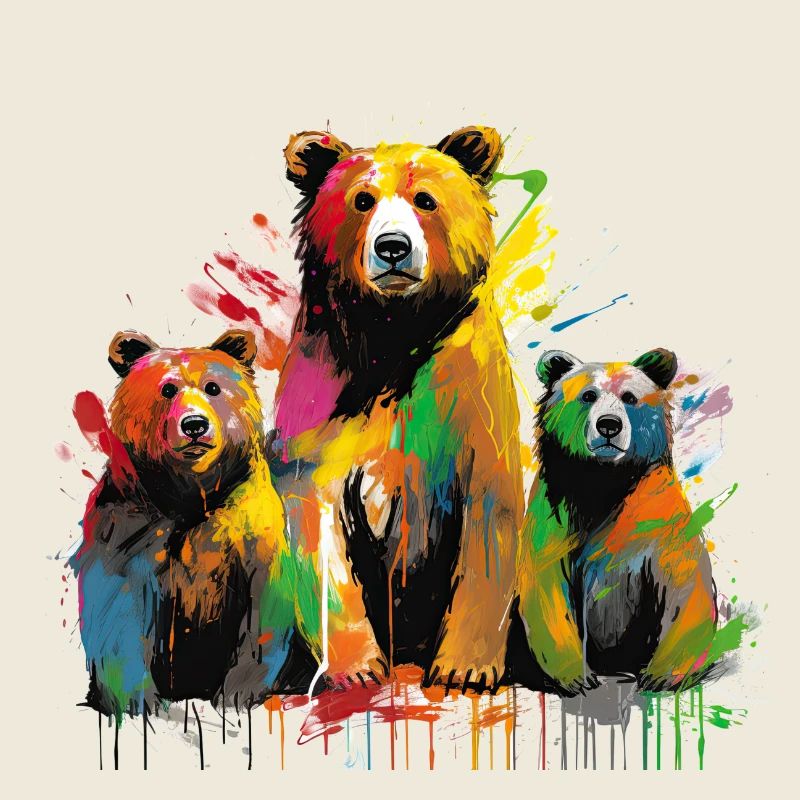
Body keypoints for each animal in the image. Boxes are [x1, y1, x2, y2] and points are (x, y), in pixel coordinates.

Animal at [70, 329, 318, 723]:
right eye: (167, 389)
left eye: (213, 387)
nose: (195, 425)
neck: (191, 490)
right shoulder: (130, 522)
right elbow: (118, 604)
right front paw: (137, 702)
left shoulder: (246, 527)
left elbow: (261, 609)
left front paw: (237, 694)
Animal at [270, 125, 524, 692]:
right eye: (362, 200)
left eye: (425, 199)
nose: (393, 248)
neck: (393, 333)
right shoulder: (322, 396)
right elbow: (317, 524)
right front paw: (357, 668)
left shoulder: (469, 395)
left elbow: (488, 520)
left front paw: (464, 668)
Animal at [516, 348, 719, 694]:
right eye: (588, 395)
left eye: (630, 397)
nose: (608, 425)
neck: (606, 481)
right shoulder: (556, 513)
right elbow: (547, 587)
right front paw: (577, 678)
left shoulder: (658, 513)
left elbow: (685, 583)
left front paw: (661, 675)